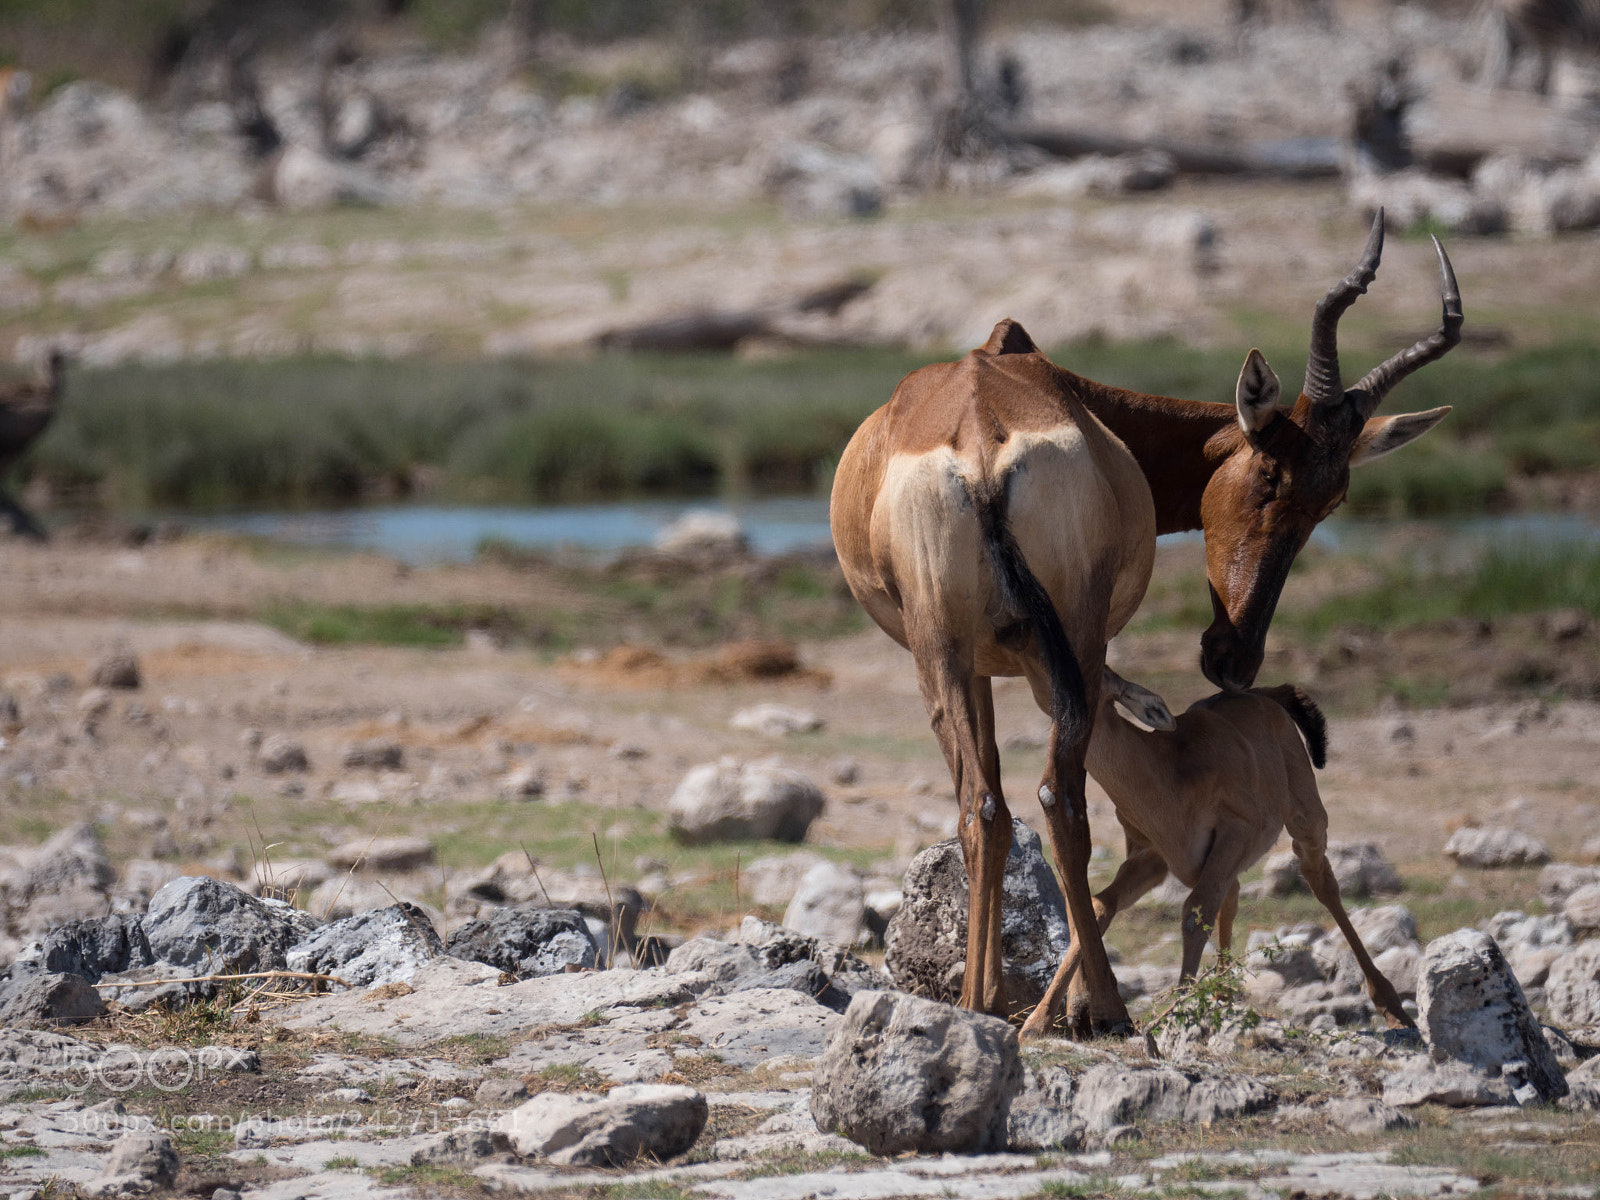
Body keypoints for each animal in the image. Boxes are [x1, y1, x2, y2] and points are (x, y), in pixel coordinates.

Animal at [1073, 673, 1412, 1029]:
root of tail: (1261, 695)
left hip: (1306, 819)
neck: (1169, 767)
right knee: (1232, 891)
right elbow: (1099, 906)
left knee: (1319, 879)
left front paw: (1177, 1015)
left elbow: (1194, 913)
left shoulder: (1234, 832)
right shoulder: (1150, 858)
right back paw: (1222, 994)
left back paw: (1392, 1006)